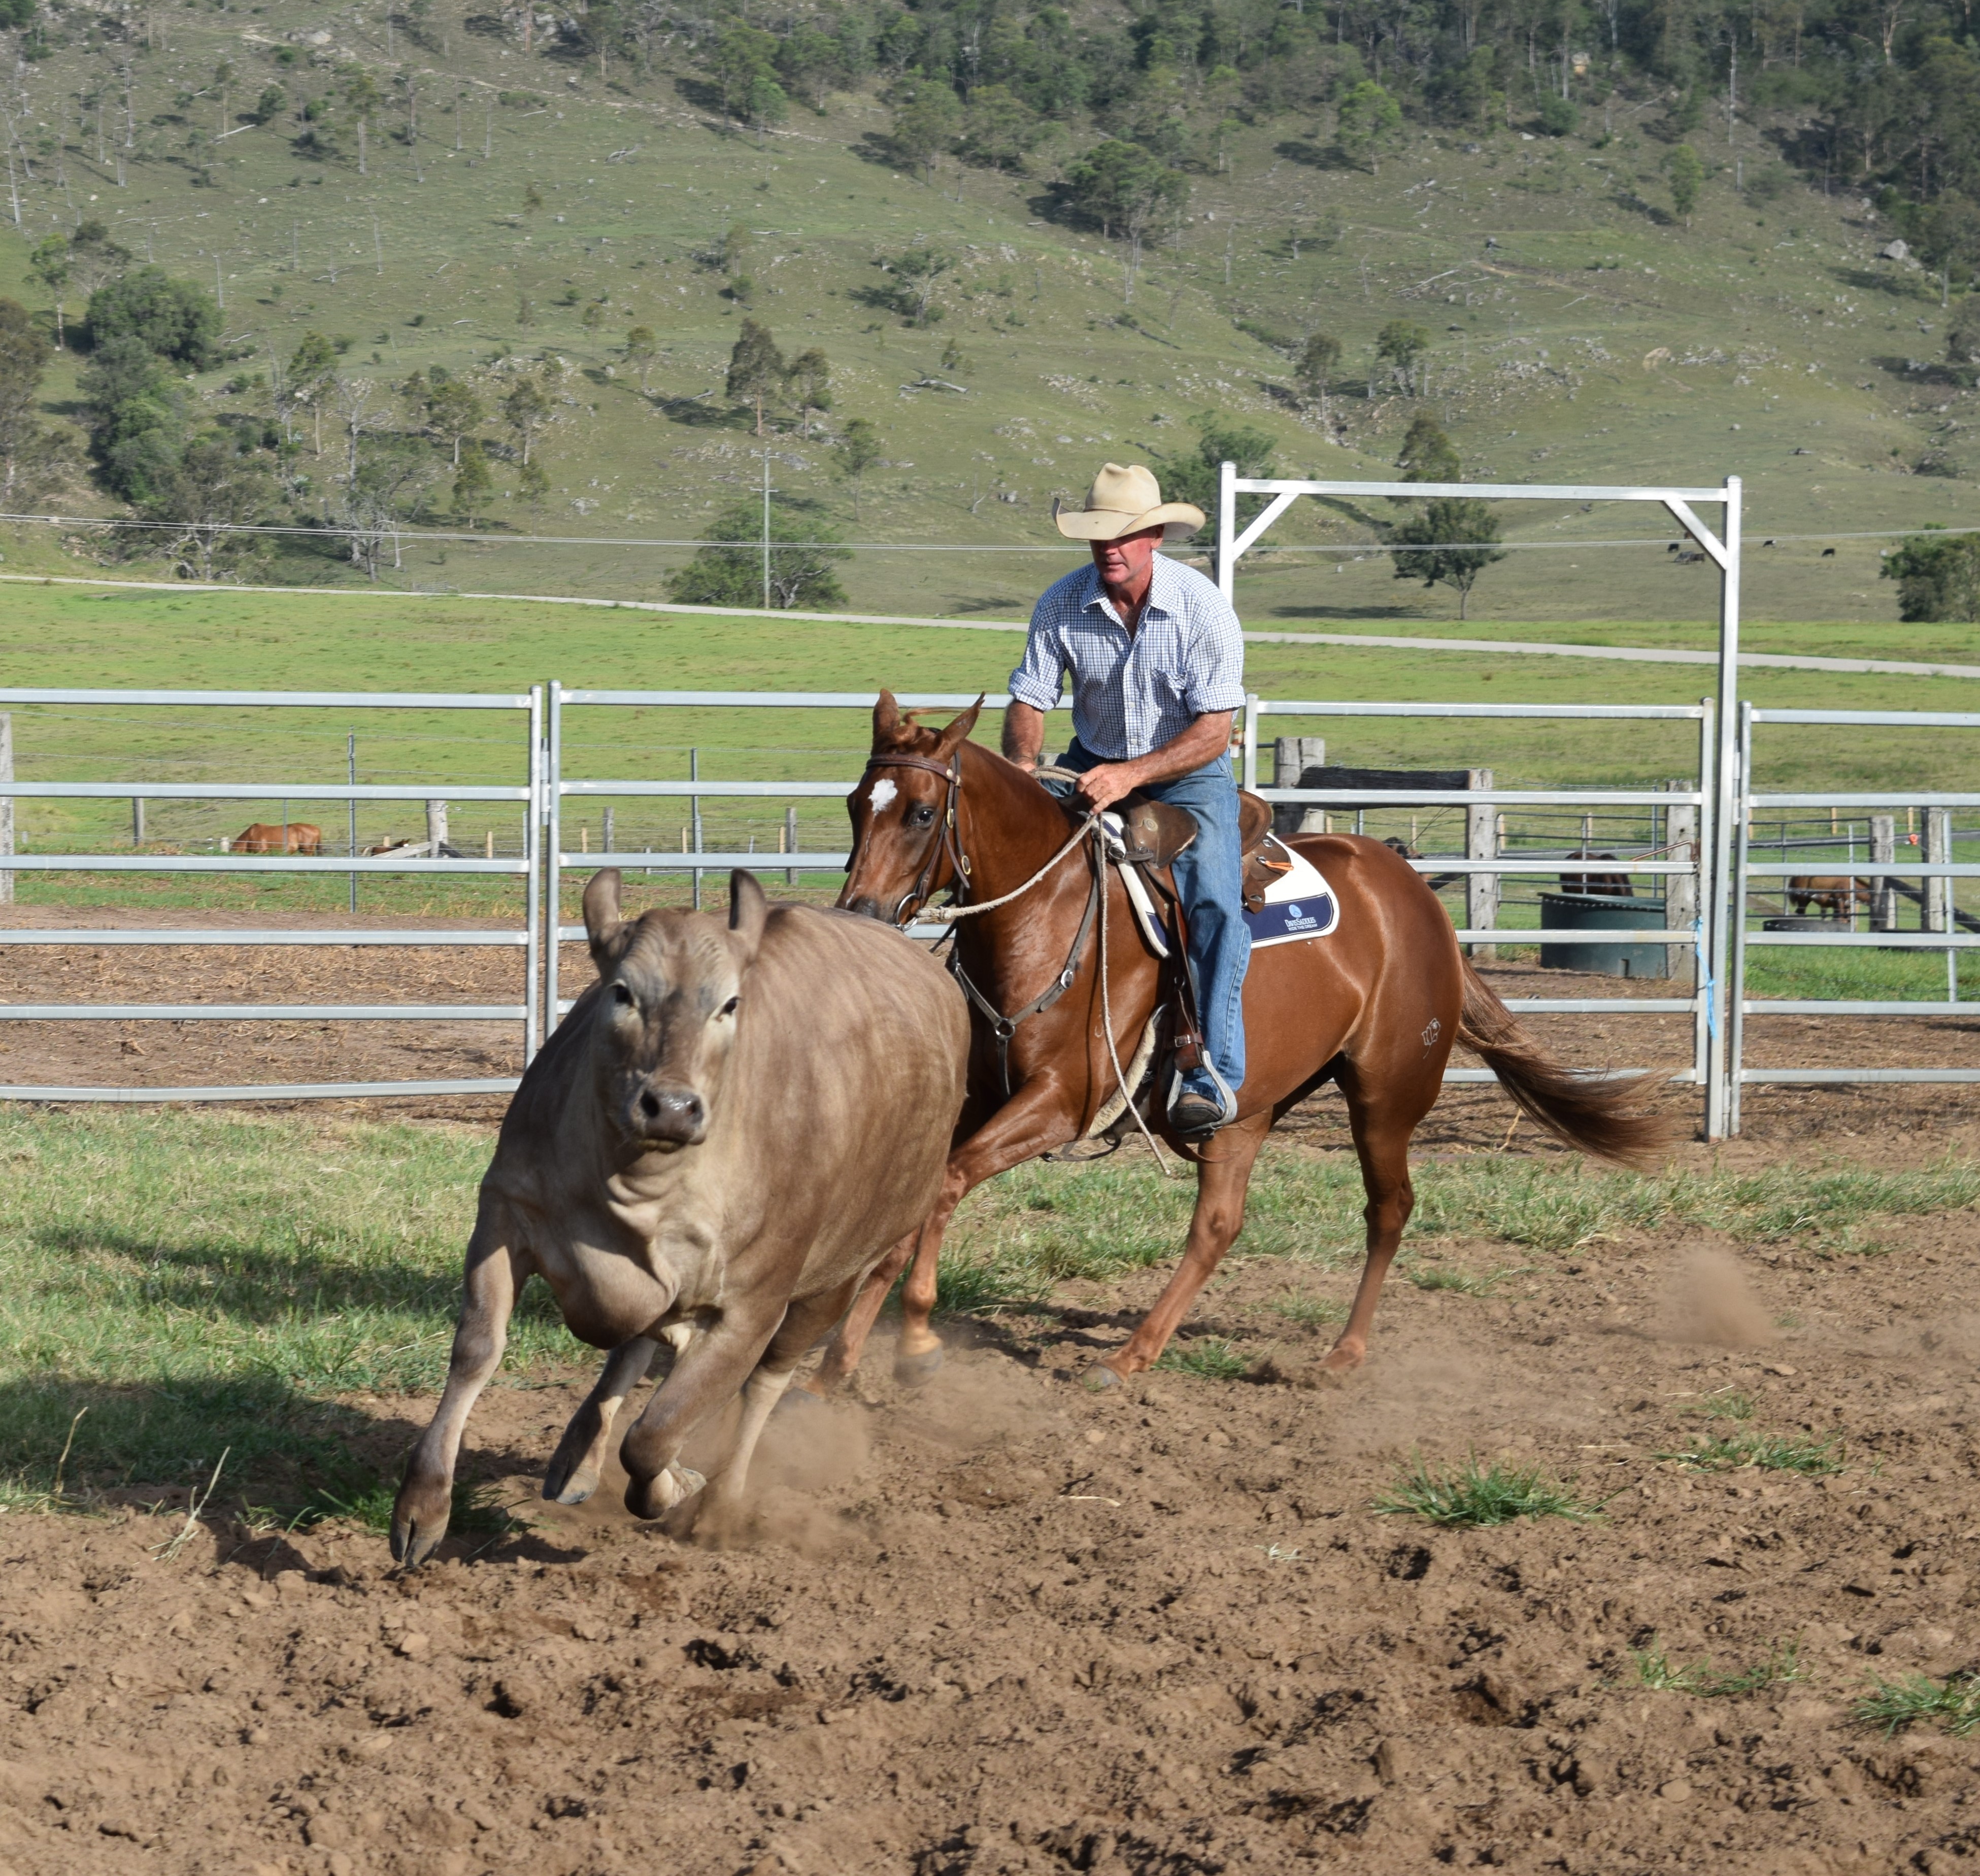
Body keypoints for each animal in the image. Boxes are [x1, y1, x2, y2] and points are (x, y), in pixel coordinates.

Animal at [390, 868, 968, 1563]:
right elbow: (477, 1349)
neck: (637, 1188)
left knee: (764, 1383)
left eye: (731, 1004)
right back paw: (578, 1461)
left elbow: (657, 1433)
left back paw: (720, 1504)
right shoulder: (504, 1212)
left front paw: (678, 1487)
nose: (670, 1106)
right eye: (621, 992)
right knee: (637, 1346)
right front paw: (422, 1506)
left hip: (840, 1274)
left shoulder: (753, 1306)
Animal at [816, 693, 1668, 1392]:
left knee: (1388, 1208)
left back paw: (1336, 1354)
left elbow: (948, 1184)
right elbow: (921, 1197)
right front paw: (840, 1357)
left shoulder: (1061, 1103)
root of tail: (1415, 897)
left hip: (1385, 1095)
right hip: (1246, 1108)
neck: (1046, 914)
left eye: (920, 813)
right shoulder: (979, 1098)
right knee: (1219, 1225)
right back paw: (1136, 1352)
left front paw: (915, 1340)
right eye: (858, 803)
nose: (859, 912)